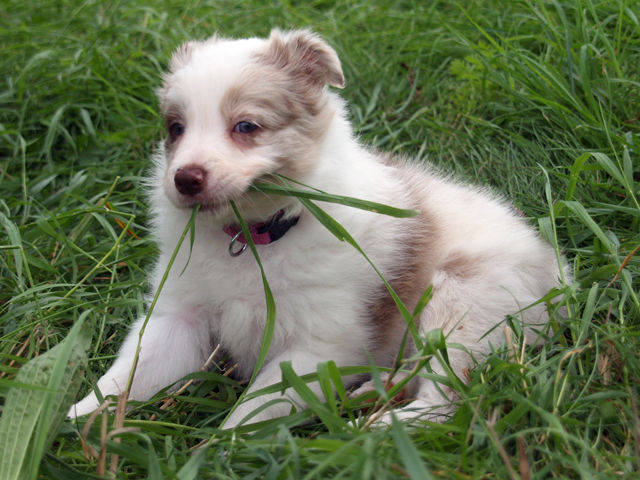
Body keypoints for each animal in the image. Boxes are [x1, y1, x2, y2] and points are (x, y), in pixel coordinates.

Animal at [69, 29, 567, 428]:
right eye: (175, 128)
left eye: (245, 126)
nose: (185, 179)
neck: (253, 235)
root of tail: (559, 272)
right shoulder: (177, 314)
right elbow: (130, 373)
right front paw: (72, 420)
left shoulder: (321, 344)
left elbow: (253, 409)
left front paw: (224, 445)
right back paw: (369, 394)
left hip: (464, 306)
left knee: (446, 397)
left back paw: (371, 430)